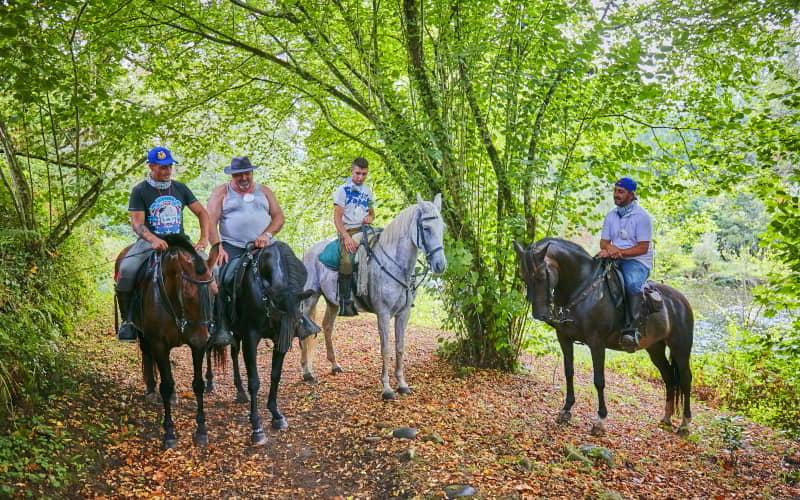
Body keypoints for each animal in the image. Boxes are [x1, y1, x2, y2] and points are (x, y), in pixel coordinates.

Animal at [113, 234, 218, 449]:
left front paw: (201, 430)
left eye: (213, 292)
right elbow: (166, 386)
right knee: (147, 354)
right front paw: (169, 432)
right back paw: (151, 389)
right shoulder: (159, 344)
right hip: (143, 334)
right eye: (188, 294)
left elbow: (198, 384)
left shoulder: (196, 345)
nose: (204, 337)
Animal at [220, 240, 319, 445]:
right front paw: (256, 427)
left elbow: (275, 375)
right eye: (278, 310)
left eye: (297, 317)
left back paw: (240, 393)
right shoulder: (250, 338)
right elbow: (254, 381)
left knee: (234, 353)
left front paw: (276, 415)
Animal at [300, 194, 447, 400]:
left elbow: (400, 347)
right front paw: (387, 389)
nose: (440, 265)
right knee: (305, 330)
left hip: (332, 302)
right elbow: (385, 349)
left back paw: (334, 366)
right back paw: (307, 373)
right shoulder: (383, 314)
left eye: (442, 228)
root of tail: (309, 252)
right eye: (426, 228)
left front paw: (402, 385)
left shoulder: (403, 314)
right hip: (310, 299)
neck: (394, 264)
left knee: (327, 327)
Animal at [514, 238, 694, 436]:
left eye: (540, 276)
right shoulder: (564, 338)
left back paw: (685, 424)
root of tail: (681, 300)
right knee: (669, 377)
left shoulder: (597, 343)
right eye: (523, 277)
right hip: (655, 349)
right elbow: (569, 372)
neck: (582, 288)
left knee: (685, 379)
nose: (539, 315)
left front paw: (600, 420)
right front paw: (566, 410)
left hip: (681, 348)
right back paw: (667, 418)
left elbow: (599, 380)